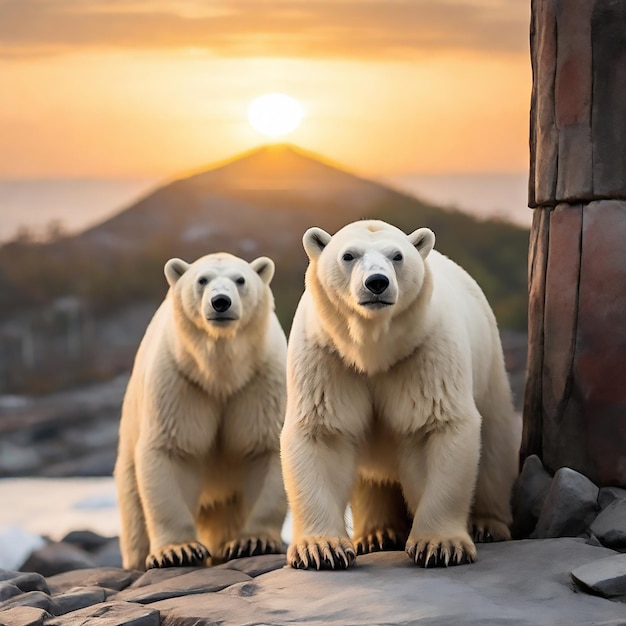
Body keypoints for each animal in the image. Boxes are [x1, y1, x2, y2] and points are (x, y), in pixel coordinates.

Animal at [114, 251, 286, 568]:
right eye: (202, 280)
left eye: (240, 279)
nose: (220, 302)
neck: (220, 374)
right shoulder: (180, 382)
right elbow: (171, 450)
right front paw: (177, 550)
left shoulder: (261, 381)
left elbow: (266, 448)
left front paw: (253, 541)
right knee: (133, 508)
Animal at [280, 222, 520, 568]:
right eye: (348, 255)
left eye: (397, 256)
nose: (377, 283)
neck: (373, 349)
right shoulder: (327, 356)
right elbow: (322, 433)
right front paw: (321, 549)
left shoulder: (426, 351)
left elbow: (435, 427)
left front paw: (440, 545)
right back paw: (376, 534)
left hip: (490, 367)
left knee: (495, 446)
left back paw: (488, 524)